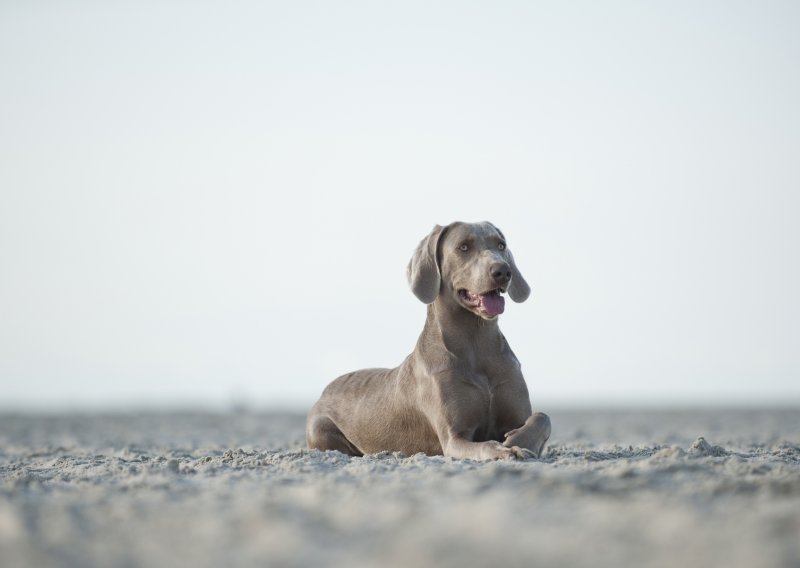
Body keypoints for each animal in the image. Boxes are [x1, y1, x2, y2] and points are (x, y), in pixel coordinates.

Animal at [306, 222, 552, 462]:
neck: (476, 342)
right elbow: (485, 445)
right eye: (463, 247)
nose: (503, 270)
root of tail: (324, 391)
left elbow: (542, 417)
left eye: (501, 245)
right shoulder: (454, 438)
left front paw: (517, 440)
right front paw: (505, 449)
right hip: (320, 428)